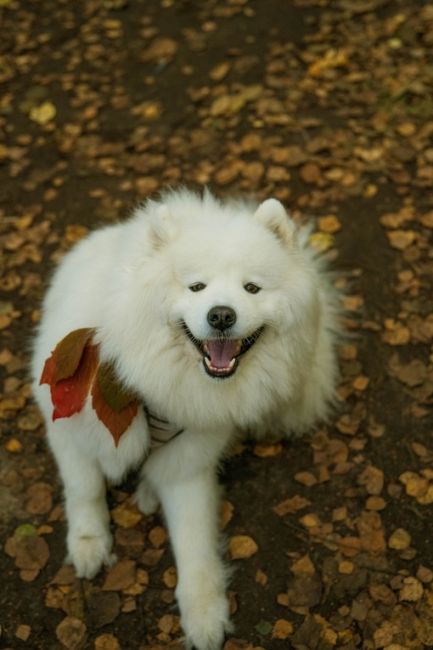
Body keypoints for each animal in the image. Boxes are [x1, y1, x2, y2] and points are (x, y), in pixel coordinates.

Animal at [32, 187, 340, 648]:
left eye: (252, 288)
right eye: (196, 286)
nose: (222, 314)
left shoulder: (188, 464)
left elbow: (195, 546)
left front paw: (205, 615)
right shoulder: (70, 430)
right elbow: (84, 488)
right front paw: (88, 544)